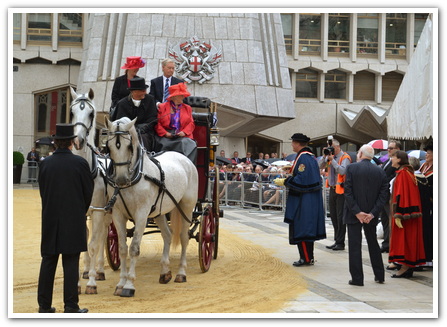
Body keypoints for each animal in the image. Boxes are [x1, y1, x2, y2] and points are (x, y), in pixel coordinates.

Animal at [105, 117, 198, 298]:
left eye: (129, 146)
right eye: (109, 146)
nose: (120, 179)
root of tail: (183, 158)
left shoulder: (141, 214)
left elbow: (134, 248)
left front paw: (129, 285)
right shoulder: (118, 214)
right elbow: (122, 248)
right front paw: (120, 284)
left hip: (186, 207)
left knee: (184, 237)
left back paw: (181, 273)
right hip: (159, 211)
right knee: (168, 235)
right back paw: (165, 272)